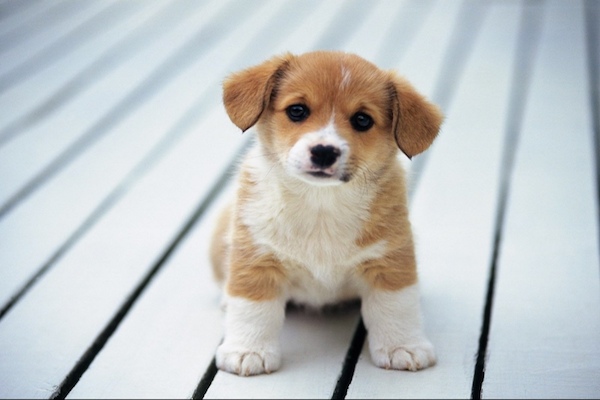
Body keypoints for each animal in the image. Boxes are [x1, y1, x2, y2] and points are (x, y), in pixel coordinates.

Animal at [209, 50, 442, 376]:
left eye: (362, 119)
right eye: (297, 111)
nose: (323, 151)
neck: (321, 202)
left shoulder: (390, 260)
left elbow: (396, 307)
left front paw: (403, 346)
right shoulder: (256, 257)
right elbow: (253, 310)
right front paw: (248, 350)